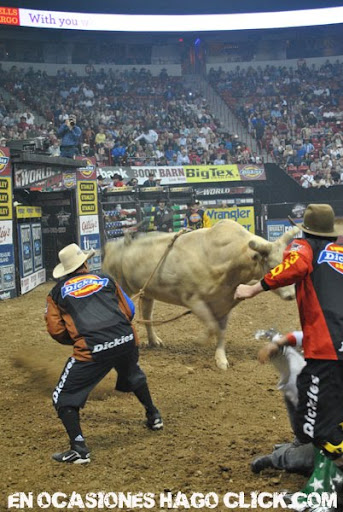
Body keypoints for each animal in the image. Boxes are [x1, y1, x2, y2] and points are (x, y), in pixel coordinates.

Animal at [102, 219, 298, 368]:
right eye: (272, 266)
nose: (291, 295)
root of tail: (113, 245)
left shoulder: (225, 303)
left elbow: (221, 331)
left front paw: (221, 359)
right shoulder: (193, 300)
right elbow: (211, 327)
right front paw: (200, 341)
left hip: (148, 291)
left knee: (147, 314)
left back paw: (154, 340)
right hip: (122, 288)